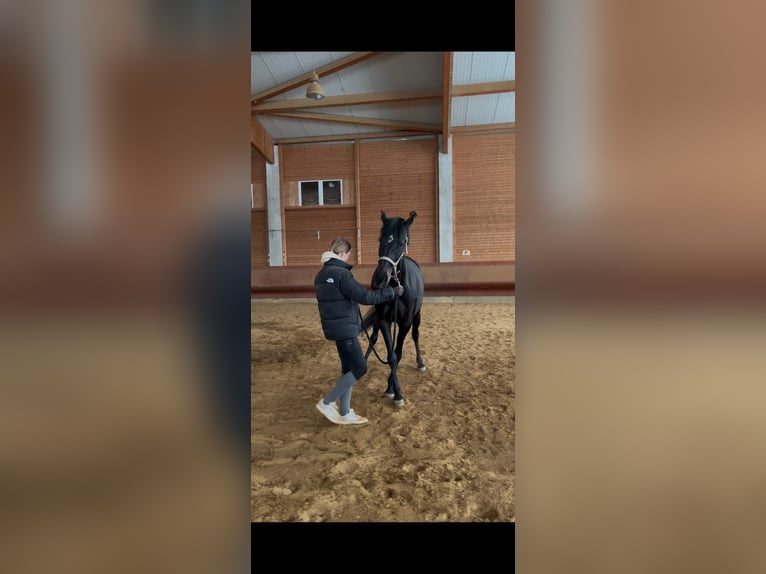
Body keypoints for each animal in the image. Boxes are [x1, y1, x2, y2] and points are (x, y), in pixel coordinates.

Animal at [362, 210, 426, 407]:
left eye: (401, 242)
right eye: (380, 240)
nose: (379, 280)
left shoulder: (405, 323)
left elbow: (397, 354)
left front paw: (393, 390)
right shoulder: (383, 320)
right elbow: (391, 356)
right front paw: (393, 391)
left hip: (417, 316)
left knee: (416, 336)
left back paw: (420, 363)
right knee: (373, 338)